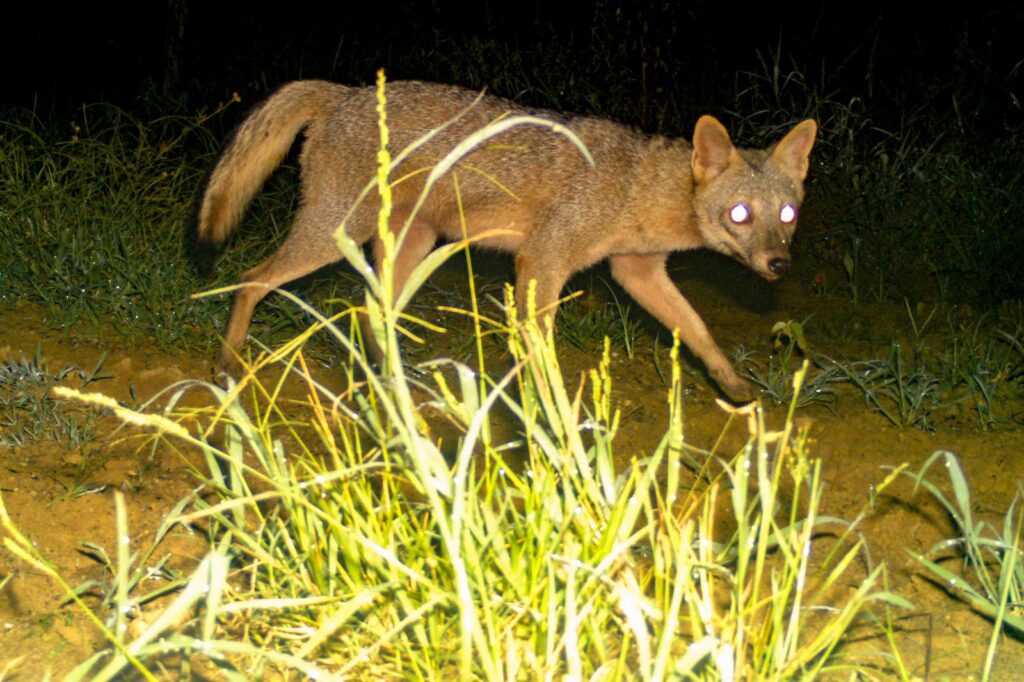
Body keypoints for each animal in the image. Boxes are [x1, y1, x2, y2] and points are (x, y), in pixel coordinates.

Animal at [196, 79, 817, 401]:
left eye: (787, 213)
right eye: (740, 214)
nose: (779, 265)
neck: (637, 188)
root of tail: (344, 91)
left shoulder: (637, 271)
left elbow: (699, 330)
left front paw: (733, 386)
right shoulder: (543, 260)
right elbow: (540, 352)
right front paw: (554, 419)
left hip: (411, 247)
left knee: (371, 311)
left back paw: (394, 385)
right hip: (336, 235)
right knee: (251, 279)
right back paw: (228, 365)